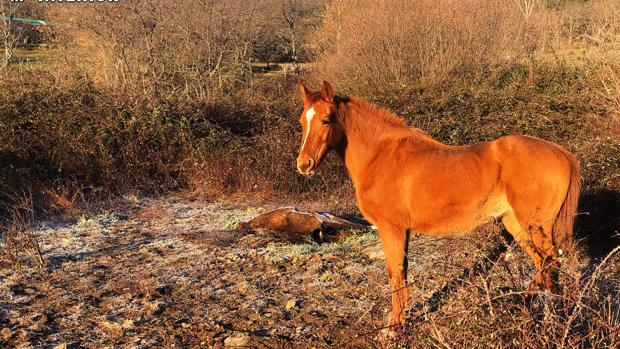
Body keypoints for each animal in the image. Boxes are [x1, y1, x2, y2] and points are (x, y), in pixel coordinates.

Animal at [294, 80, 580, 328]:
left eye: (326, 119)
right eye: (301, 122)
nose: (304, 164)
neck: (381, 155)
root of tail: (562, 151)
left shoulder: (391, 229)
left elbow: (395, 273)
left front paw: (394, 327)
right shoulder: (402, 231)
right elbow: (403, 272)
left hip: (535, 226)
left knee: (551, 264)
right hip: (515, 224)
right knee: (542, 265)